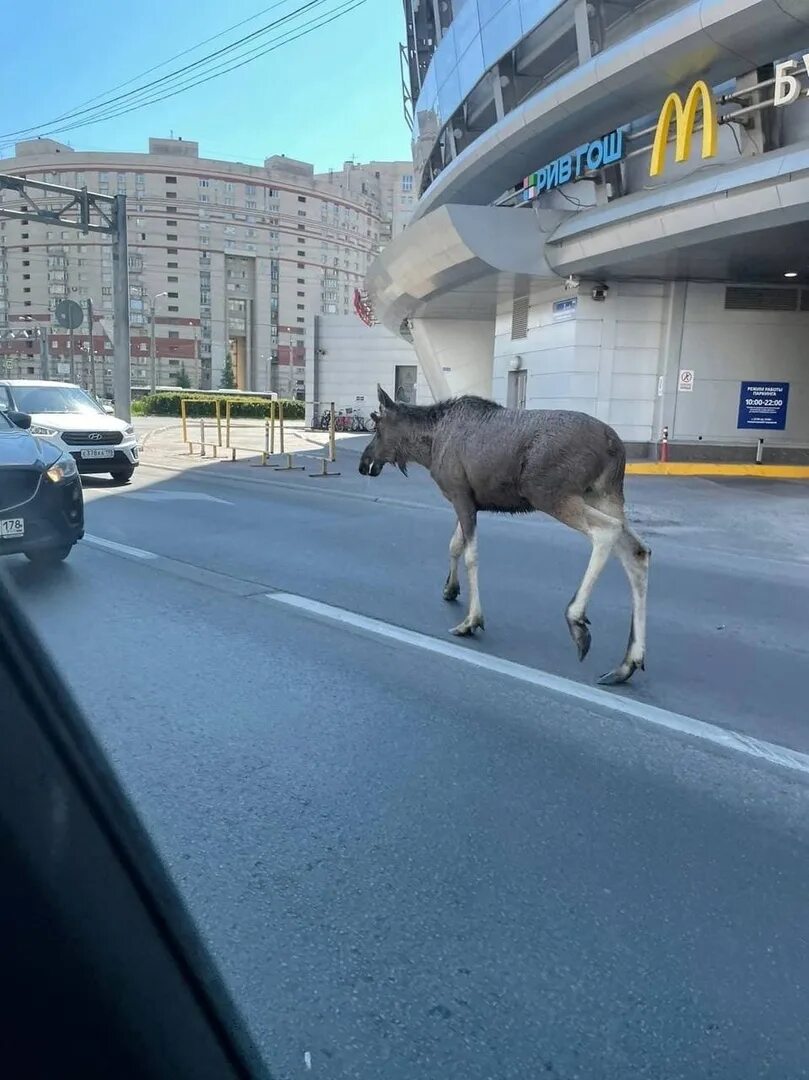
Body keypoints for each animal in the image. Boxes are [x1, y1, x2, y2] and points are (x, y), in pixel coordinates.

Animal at [360, 388, 648, 682]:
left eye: (377, 426)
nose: (364, 463)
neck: (428, 448)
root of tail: (615, 446)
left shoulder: (460, 494)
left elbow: (470, 555)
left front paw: (471, 620)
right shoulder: (470, 500)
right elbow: (454, 544)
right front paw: (450, 588)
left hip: (549, 492)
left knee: (607, 531)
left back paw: (576, 619)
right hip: (605, 495)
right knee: (637, 550)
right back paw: (629, 661)